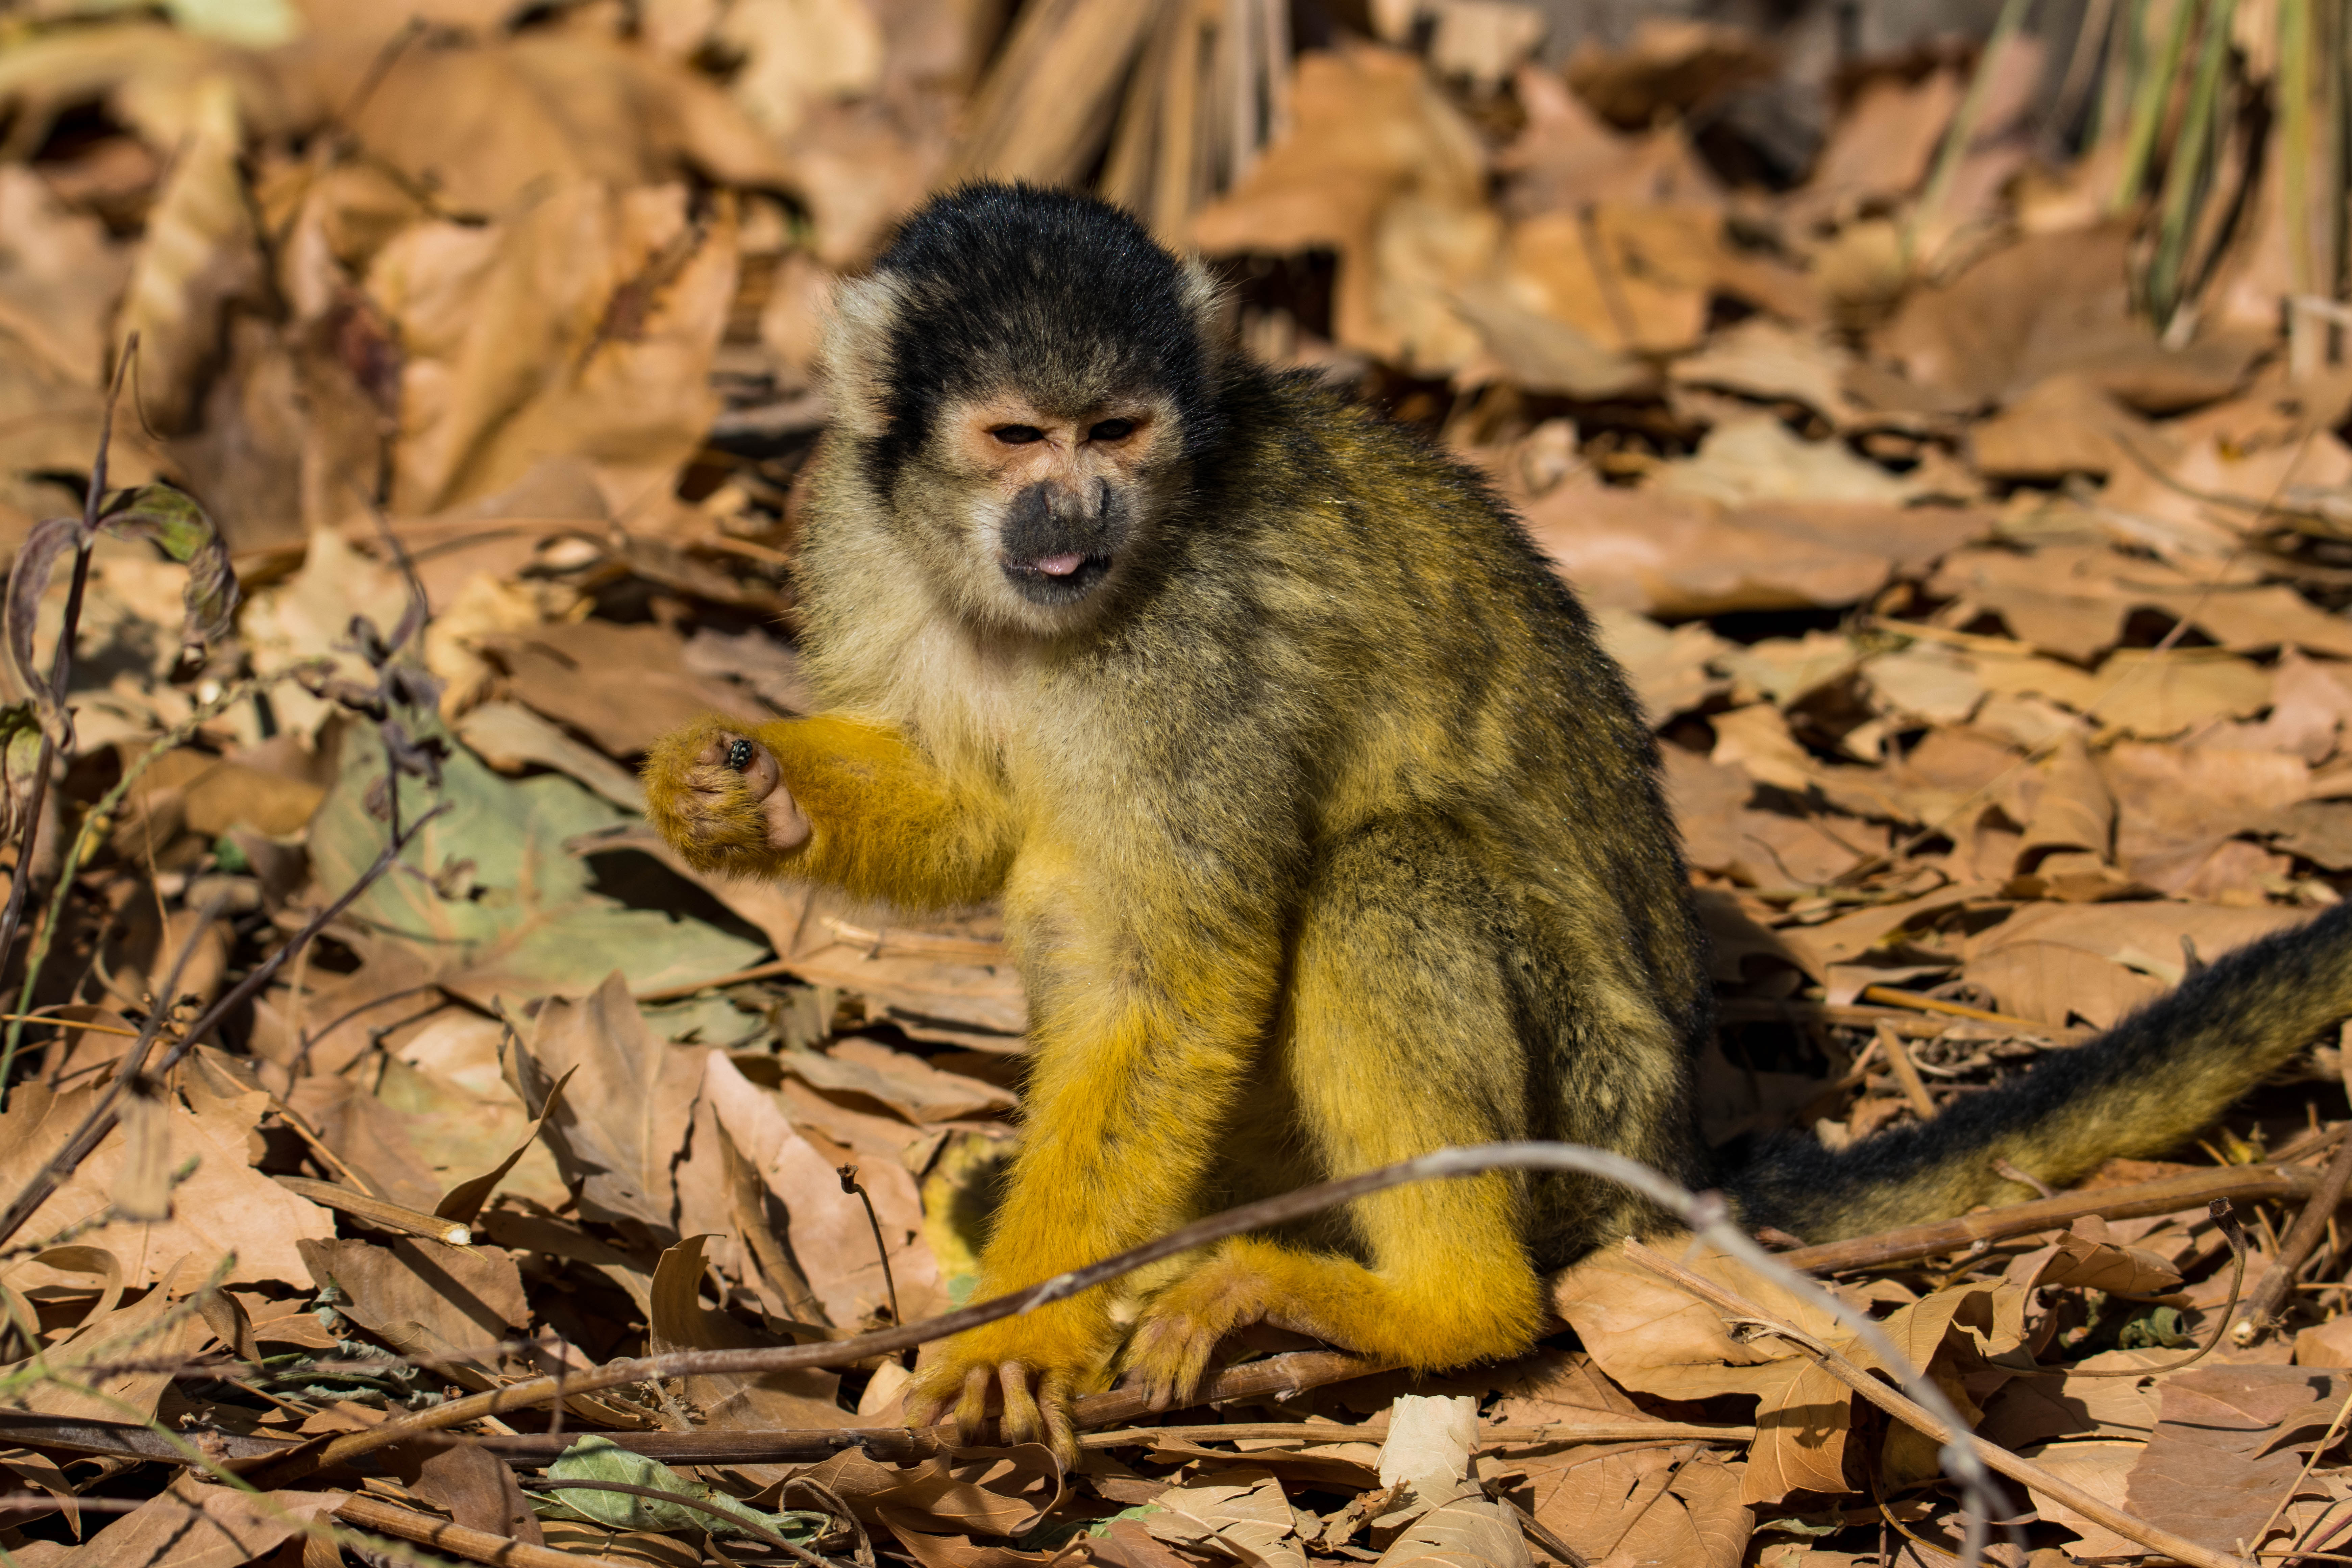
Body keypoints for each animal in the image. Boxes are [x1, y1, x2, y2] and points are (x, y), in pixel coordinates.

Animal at [644, 190, 2352, 1467]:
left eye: (1116, 430)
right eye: (1018, 439)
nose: (1078, 518)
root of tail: (1666, 1162)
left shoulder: (1195, 642)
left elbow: (1167, 975)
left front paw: (1029, 1325)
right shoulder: (855, 531)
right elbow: (974, 805)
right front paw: (746, 794)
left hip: (1578, 1117)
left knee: (1387, 877)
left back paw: (1441, 1303)